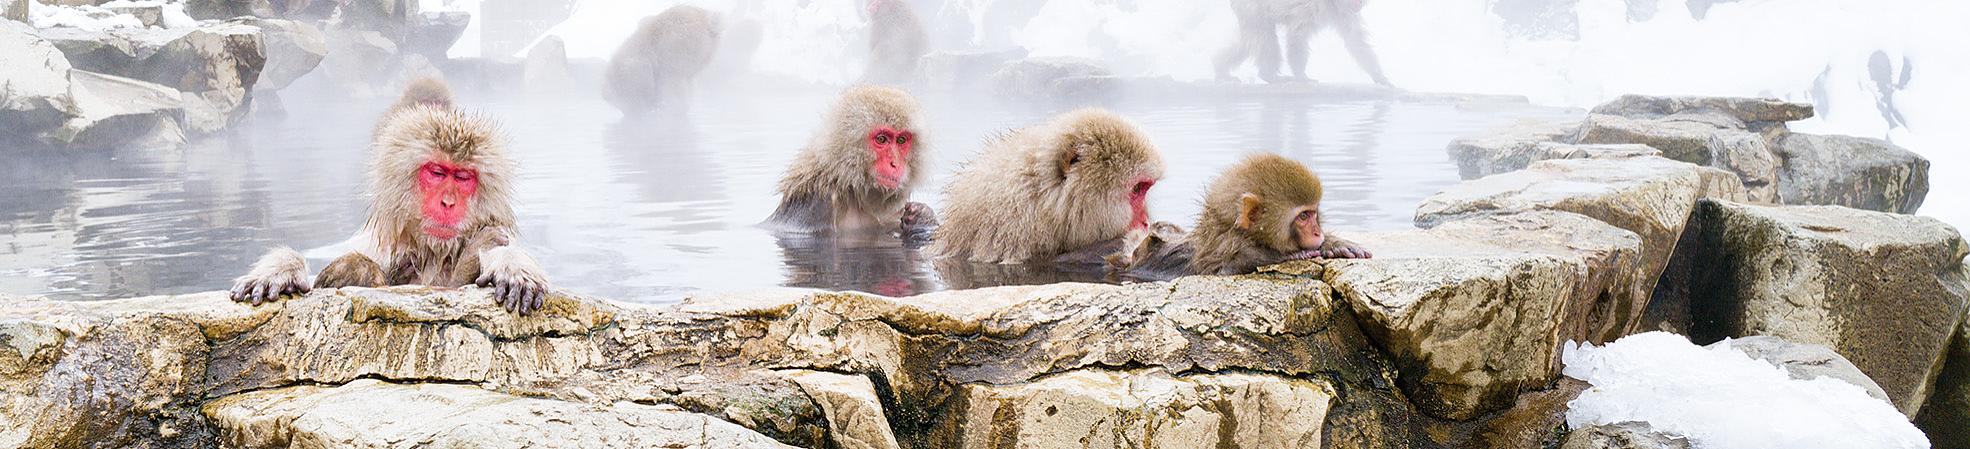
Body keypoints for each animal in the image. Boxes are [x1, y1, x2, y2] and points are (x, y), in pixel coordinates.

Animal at [232, 78, 555, 313]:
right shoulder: (376, 245)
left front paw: (511, 266)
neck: (430, 253)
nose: (448, 203)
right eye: (437, 172)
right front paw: (281, 270)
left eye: (463, 177)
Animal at [1111, 153, 1371, 277]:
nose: (1318, 233)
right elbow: (1224, 269)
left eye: (1314, 213)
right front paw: (1281, 255)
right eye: (1304, 217)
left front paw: (1334, 245)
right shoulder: (1219, 248)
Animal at [1205, 0, 1394, 86]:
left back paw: (1220, 68)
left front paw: (1379, 76)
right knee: (1264, 38)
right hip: (1251, 8)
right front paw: (1301, 76)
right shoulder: (1313, 6)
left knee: (1249, 41)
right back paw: (1269, 76)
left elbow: (1355, 39)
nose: (1359, 4)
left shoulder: (1343, 12)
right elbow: (1297, 35)